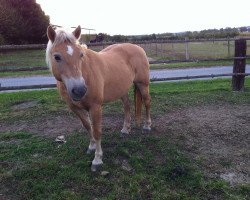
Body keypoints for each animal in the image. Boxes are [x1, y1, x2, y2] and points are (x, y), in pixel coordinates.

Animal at [45, 25, 151, 172]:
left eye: (81, 55)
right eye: (57, 57)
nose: (80, 90)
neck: (86, 73)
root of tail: (138, 48)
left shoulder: (95, 107)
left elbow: (96, 131)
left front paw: (97, 159)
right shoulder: (75, 108)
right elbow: (87, 126)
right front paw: (92, 147)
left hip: (143, 85)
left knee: (147, 103)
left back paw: (147, 126)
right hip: (122, 90)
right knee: (127, 106)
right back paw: (125, 129)